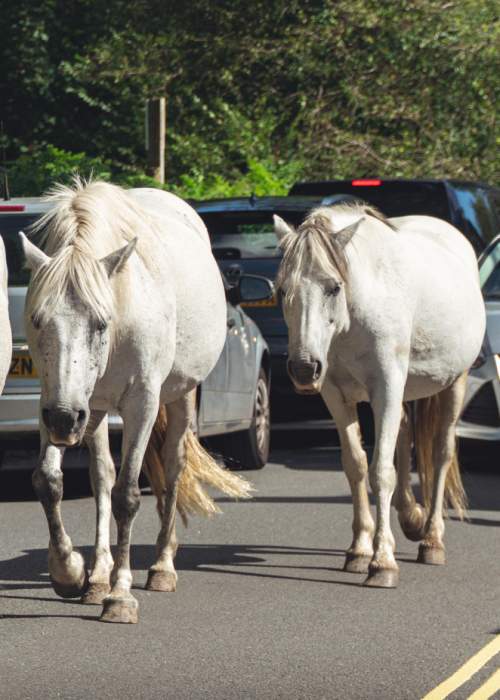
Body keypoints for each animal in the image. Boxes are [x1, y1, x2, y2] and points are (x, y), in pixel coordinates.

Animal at [21, 180, 252, 624]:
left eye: (100, 323)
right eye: (38, 321)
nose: (63, 421)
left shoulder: (141, 403)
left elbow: (127, 495)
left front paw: (121, 595)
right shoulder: (54, 399)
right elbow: (49, 481)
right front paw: (70, 571)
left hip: (176, 397)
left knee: (174, 467)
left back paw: (161, 566)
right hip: (92, 412)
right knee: (100, 476)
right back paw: (97, 576)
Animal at [274, 205, 484, 588]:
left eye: (334, 287)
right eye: (282, 290)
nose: (303, 368)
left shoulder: (386, 385)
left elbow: (381, 471)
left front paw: (382, 562)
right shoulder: (336, 395)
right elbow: (355, 465)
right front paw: (359, 549)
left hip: (455, 382)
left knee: (442, 452)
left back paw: (432, 539)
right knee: (403, 431)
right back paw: (411, 517)